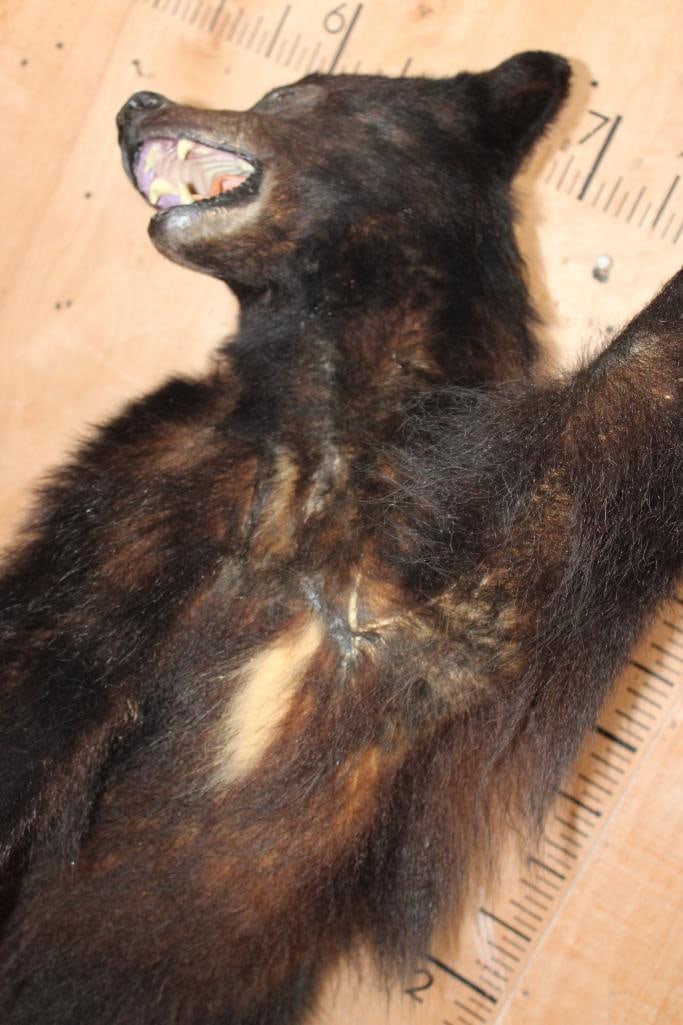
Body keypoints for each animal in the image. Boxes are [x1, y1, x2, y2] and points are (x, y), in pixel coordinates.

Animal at [0, 51, 681, 1025]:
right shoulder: (140, 496)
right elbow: (47, 685)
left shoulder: (476, 558)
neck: (324, 421)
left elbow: (630, 400)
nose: (137, 102)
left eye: (292, 93)